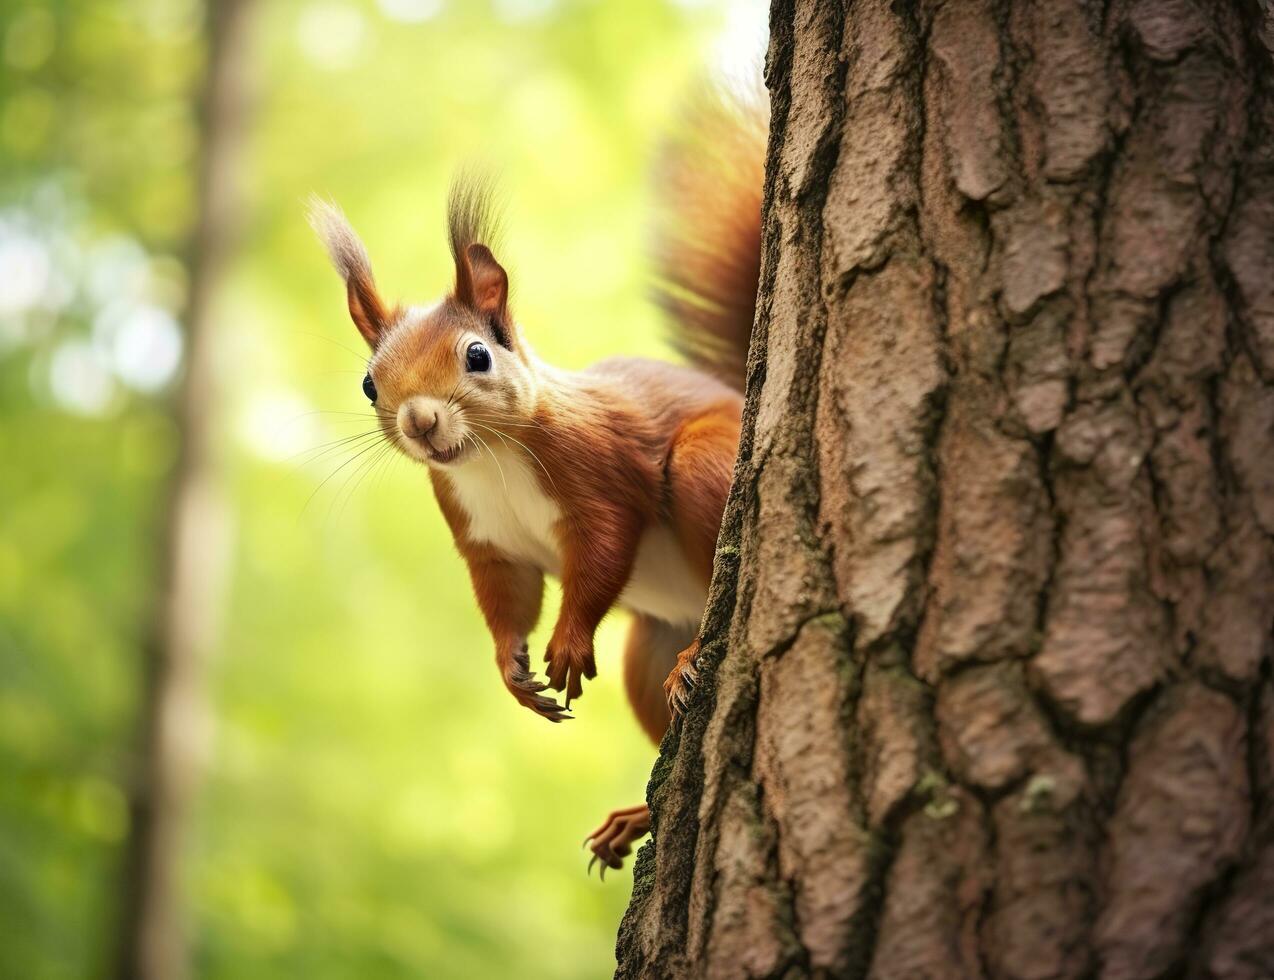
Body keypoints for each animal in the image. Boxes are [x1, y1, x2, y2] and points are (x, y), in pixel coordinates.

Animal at [312, 93, 759, 871]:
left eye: (478, 356)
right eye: (369, 383)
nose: (421, 421)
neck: (487, 461)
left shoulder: (597, 471)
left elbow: (602, 552)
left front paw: (569, 643)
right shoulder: (484, 538)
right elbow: (506, 597)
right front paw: (513, 675)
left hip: (707, 461)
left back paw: (693, 662)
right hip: (647, 645)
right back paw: (638, 814)